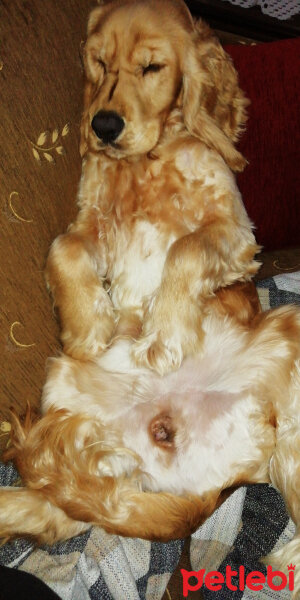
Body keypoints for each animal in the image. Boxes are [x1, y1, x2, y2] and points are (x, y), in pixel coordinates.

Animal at [45, 0, 258, 376]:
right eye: (100, 62)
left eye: (152, 67)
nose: (103, 126)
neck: (144, 162)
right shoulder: (95, 221)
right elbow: (63, 247)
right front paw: (87, 328)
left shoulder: (234, 226)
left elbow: (187, 249)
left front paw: (164, 337)